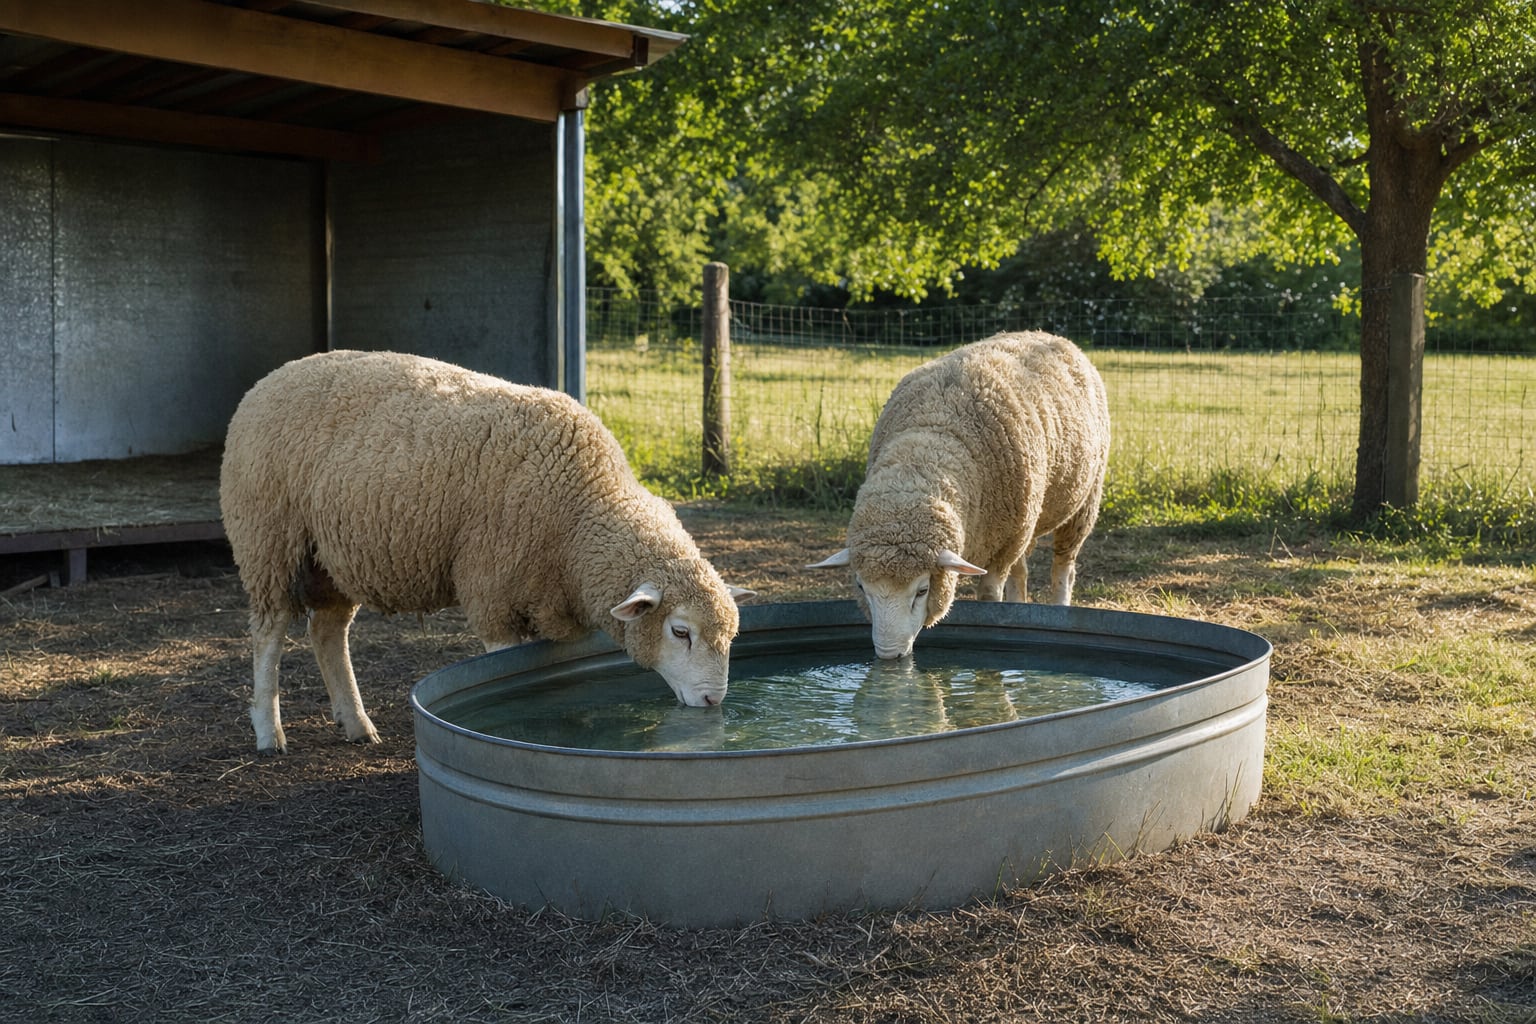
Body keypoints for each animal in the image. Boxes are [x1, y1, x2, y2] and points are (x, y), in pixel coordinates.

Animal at [219, 349, 751, 753]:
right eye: (680, 632)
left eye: (731, 636)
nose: (713, 703)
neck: (584, 509)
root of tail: (271, 378)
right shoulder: (495, 593)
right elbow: (506, 672)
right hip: (267, 537)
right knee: (269, 632)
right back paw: (269, 732)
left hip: (330, 556)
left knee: (328, 631)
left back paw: (357, 724)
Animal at [809, 331, 1109, 659]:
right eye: (862, 588)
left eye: (922, 590)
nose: (889, 656)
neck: (927, 446)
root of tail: (1049, 335)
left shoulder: (1001, 548)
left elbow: (989, 596)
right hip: (1027, 522)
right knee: (1021, 571)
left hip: (1082, 503)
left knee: (1063, 567)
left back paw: (1059, 604)